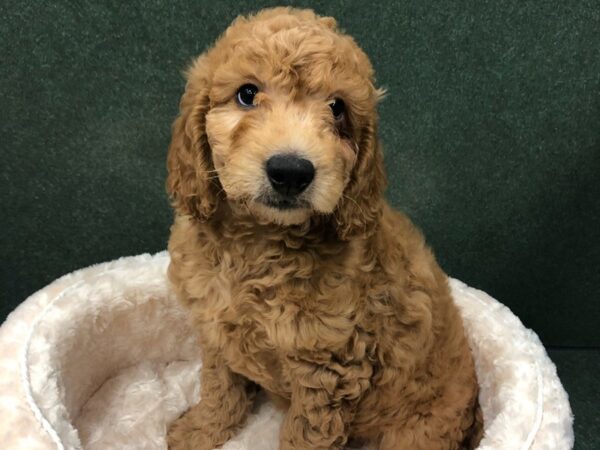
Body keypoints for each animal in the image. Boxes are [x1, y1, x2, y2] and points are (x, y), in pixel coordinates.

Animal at [165, 7, 482, 450]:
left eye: (337, 108)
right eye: (247, 94)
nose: (290, 171)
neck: (257, 242)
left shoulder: (328, 366)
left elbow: (306, 433)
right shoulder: (215, 326)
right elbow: (219, 385)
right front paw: (200, 429)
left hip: (417, 429)